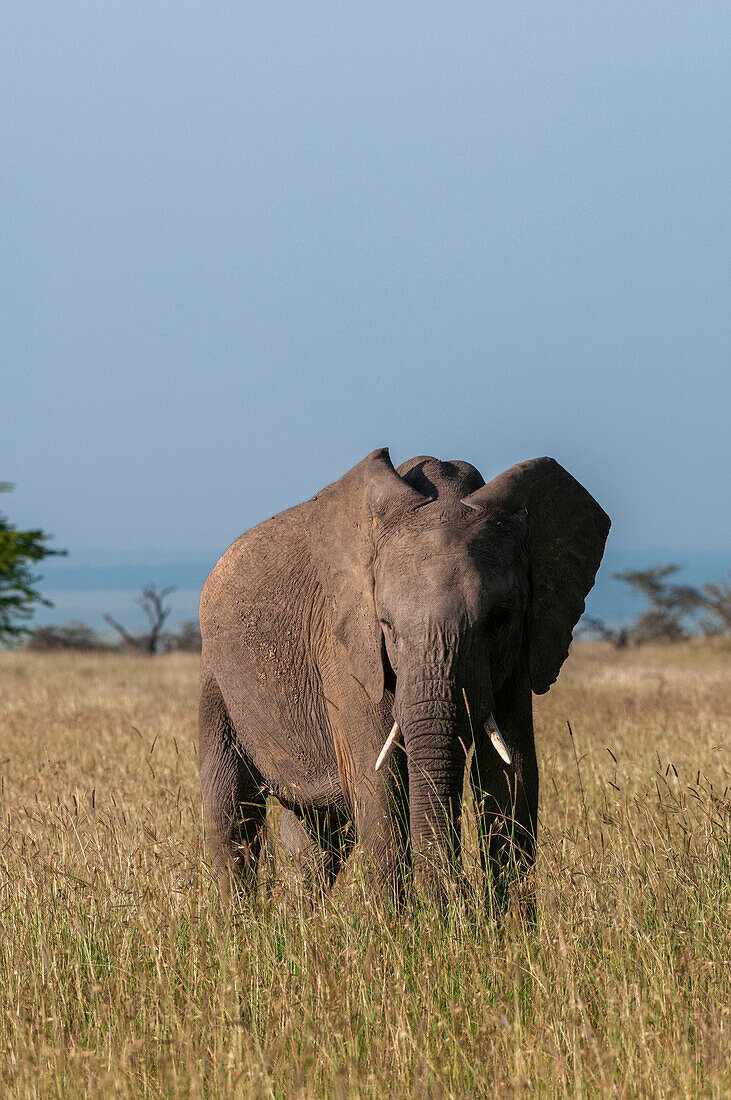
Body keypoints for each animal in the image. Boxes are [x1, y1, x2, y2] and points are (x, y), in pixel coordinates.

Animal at [196, 446, 606, 902]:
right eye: (387, 624)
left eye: (499, 620)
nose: (458, 894)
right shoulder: (346, 649)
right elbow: (381, 785)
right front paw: (402, 920)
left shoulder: (522, 646)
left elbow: (512, 776)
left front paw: (508, 920)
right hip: (216, 679)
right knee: (231, 813)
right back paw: (242, 918)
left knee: (315, 836)